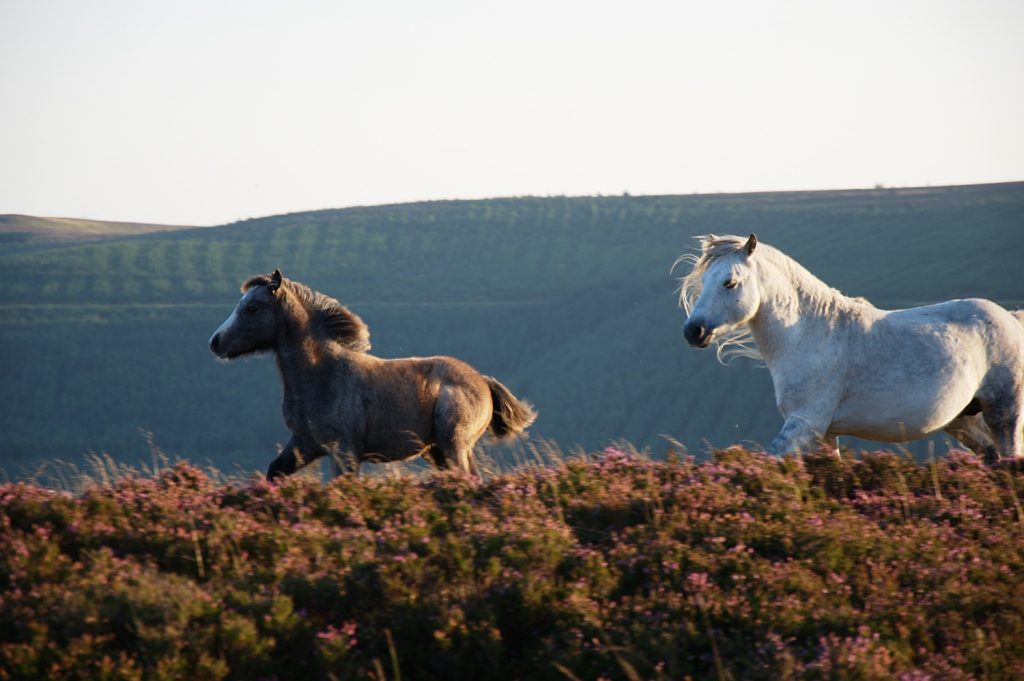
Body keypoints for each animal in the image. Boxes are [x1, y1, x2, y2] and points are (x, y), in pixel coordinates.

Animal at [207, 268, 536, 481]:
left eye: (253, 307)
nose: (215, 341)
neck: (322, 377)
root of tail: (483, 381)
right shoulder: (305, 443)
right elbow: (274, 472)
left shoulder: (344, 451)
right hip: (437, 451)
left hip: (453, 444)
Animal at [679, 233, 1024, 462]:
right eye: (704, 281)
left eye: (730, 283)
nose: (693, 331)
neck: (809, 335)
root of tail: (1010, 318)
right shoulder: (825, 434)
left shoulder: (805, 422)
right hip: (962, 420)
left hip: (1004, 411)